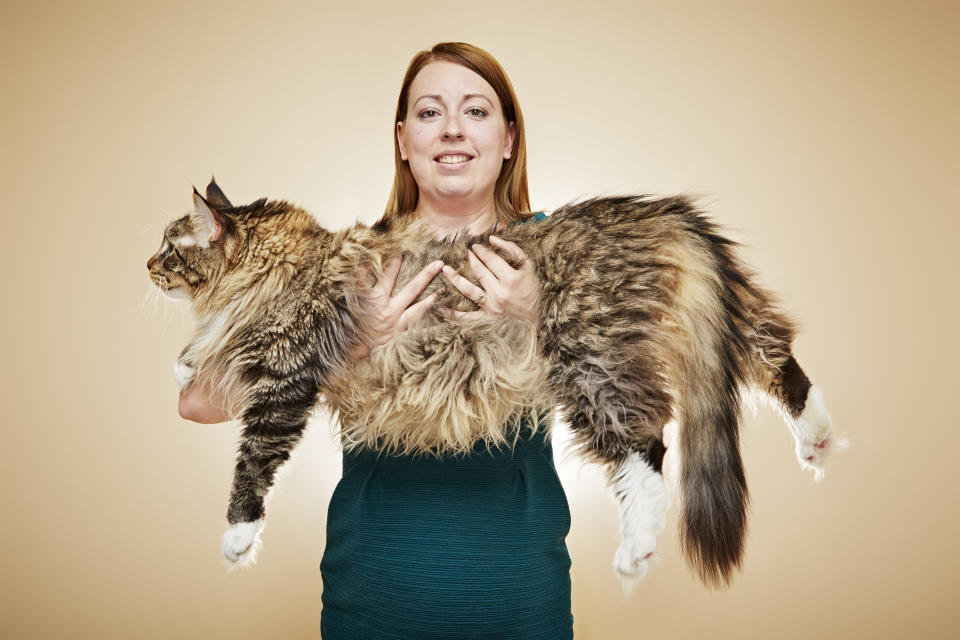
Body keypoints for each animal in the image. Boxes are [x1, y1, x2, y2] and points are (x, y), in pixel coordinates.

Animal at [146, 178, 844, 588]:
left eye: (171, 248)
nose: (146, 264)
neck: (282, 263)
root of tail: (649, 215)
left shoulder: (285, 382)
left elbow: (250, 466)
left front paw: (237, 539)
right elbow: (201, 360)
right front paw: (186, 363)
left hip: (586, 359)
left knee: (647, 447)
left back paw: (637, 550)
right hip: (720, 318)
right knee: (778, 355)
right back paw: (818, 439)